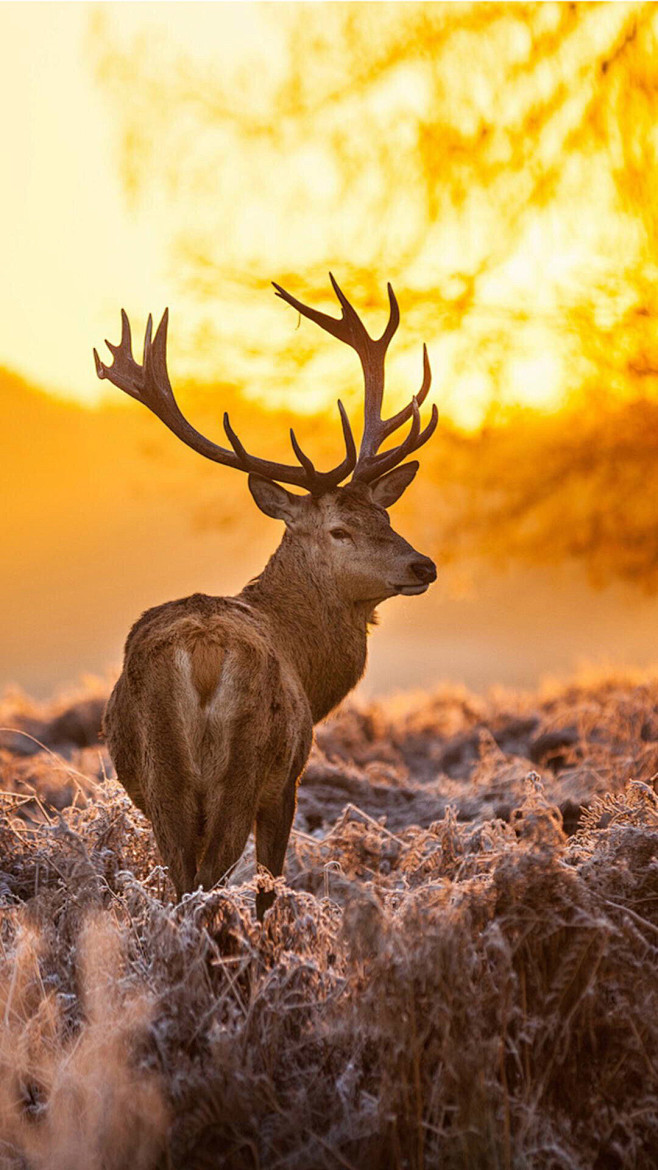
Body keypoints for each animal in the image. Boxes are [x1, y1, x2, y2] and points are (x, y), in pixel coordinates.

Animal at [94, 275, 438, 919]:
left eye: (385, 515)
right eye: (340, 530)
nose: (422, 564)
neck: (309, 663)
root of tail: (203, 654)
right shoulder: (288, 781)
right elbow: (269, 886)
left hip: (160, 776)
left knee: (182, 881)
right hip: (245, 766)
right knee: (208, 882)